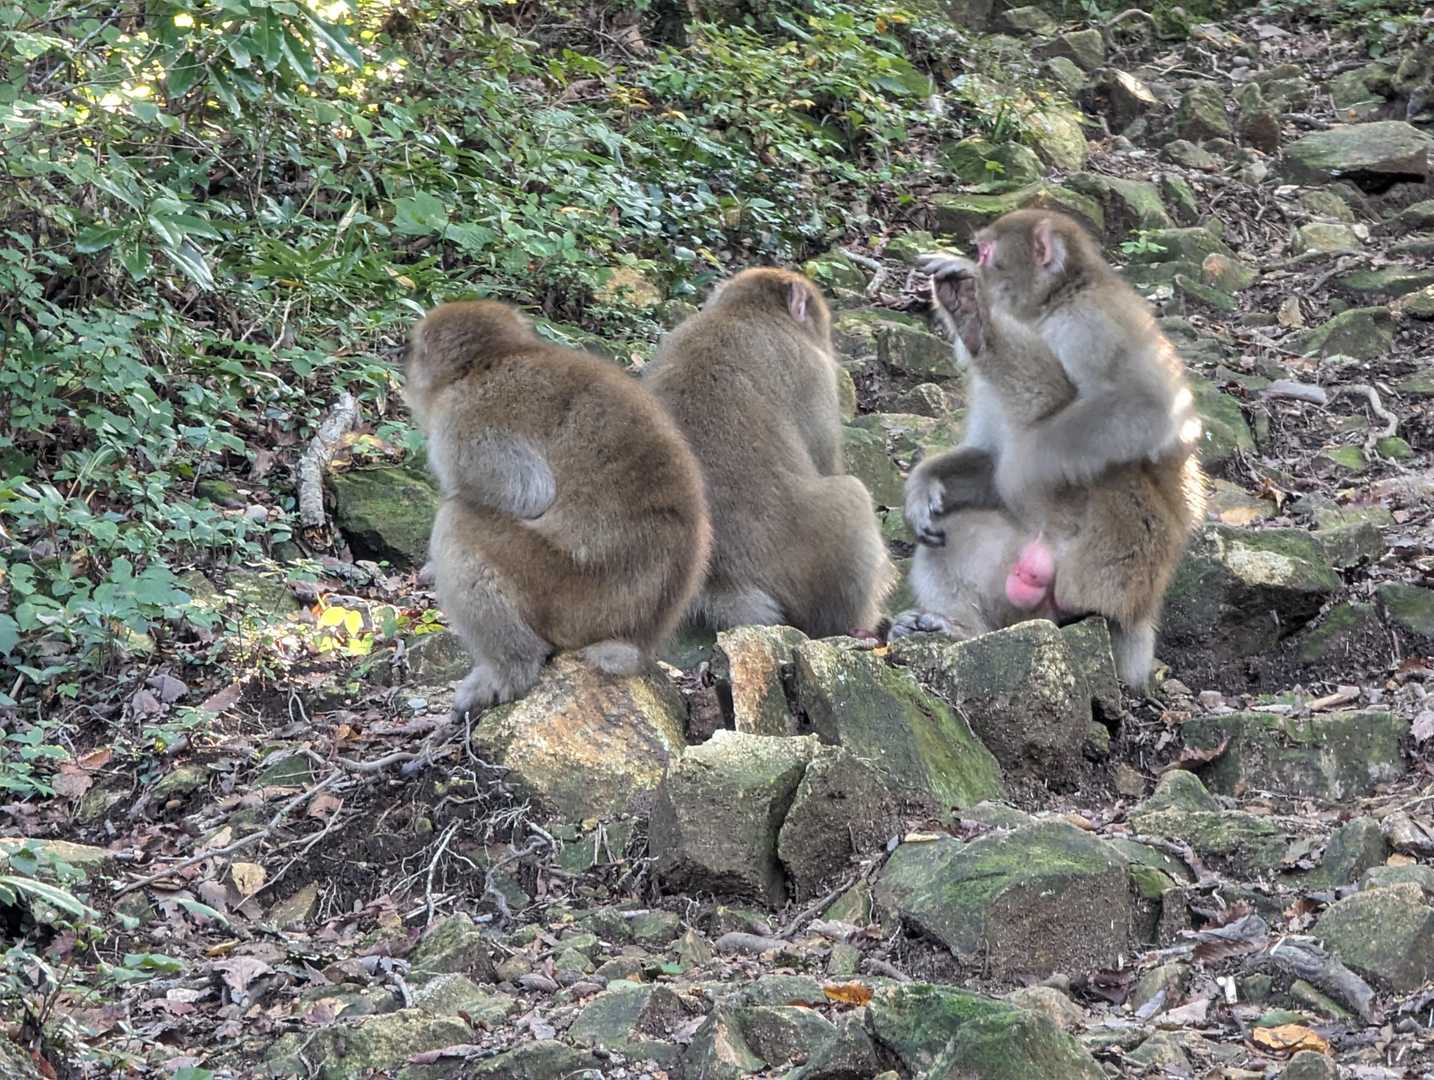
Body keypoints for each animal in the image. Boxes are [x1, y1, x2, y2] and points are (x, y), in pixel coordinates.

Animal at [405, 300, 712, 715]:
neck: (497, 358)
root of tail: (638, 637)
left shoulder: (465, 422)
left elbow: (527, 493)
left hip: (569, 598)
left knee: (456, 523)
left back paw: (511, 670)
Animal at [641, 268, 896, 638]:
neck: (744, 310)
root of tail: (722, 582)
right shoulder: (814, 371)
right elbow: (826, 460)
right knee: (852, 495)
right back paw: (861, 625)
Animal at [892, 213, 1206, 687]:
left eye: (986, 253)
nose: (977, 266)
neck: (1052, 305)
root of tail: (1144, 612)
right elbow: (987, 459)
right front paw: (923, 484)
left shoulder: (1091, 325)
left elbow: (1146, 408)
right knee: (951, 537)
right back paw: (958, 629)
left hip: (1116, 563)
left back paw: (981, 328)